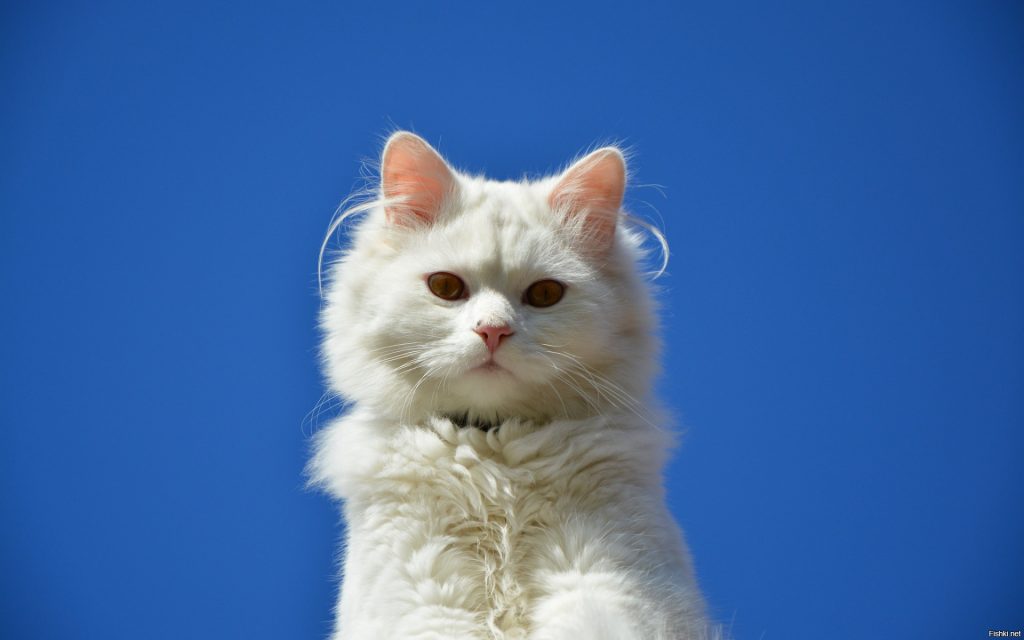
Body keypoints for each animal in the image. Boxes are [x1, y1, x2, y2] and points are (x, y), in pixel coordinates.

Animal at [307, 132, 716, 634]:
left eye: (545, 294)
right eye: (446, 287)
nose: (493, 331)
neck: (497, 463)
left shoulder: (609, 586)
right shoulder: (424, 600)